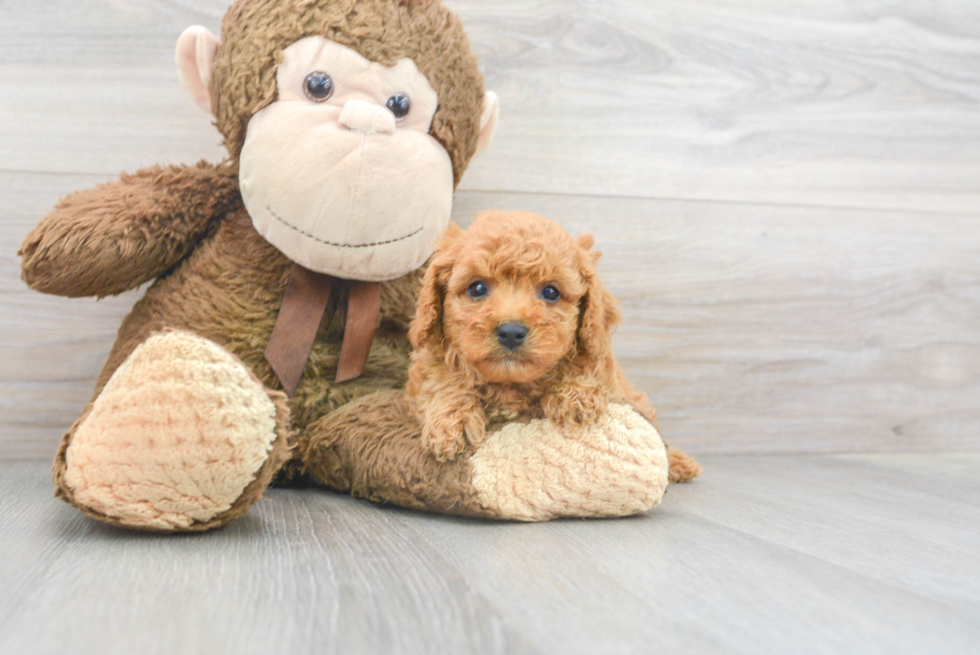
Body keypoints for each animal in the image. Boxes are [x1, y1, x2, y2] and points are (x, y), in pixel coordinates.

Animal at [402, 210, 676, 466]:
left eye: (551, 292)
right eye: (477, 288)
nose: (511, 332)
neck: (510, 386)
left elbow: (584, 367)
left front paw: (574, 395)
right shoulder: (427, 365)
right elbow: (438, 380)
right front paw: (453, 421)